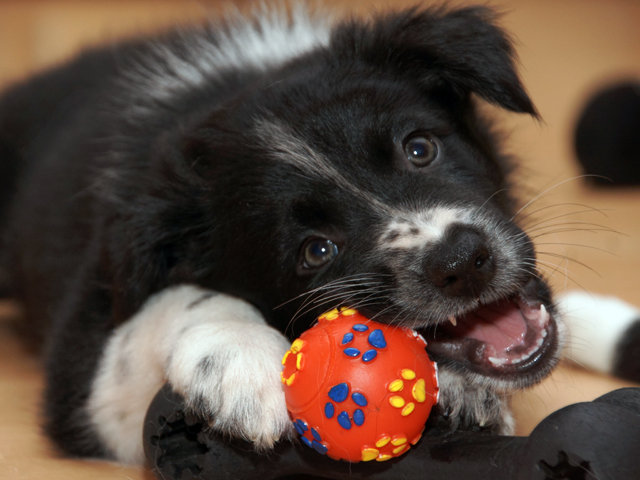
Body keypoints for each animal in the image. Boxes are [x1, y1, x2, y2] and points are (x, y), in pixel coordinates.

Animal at [0, 3, 569, 465]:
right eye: (316, 250)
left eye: (420, 148)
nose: (461, 261)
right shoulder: (83, 367)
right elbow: (170, 304)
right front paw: (240, 359)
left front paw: (461, 389)